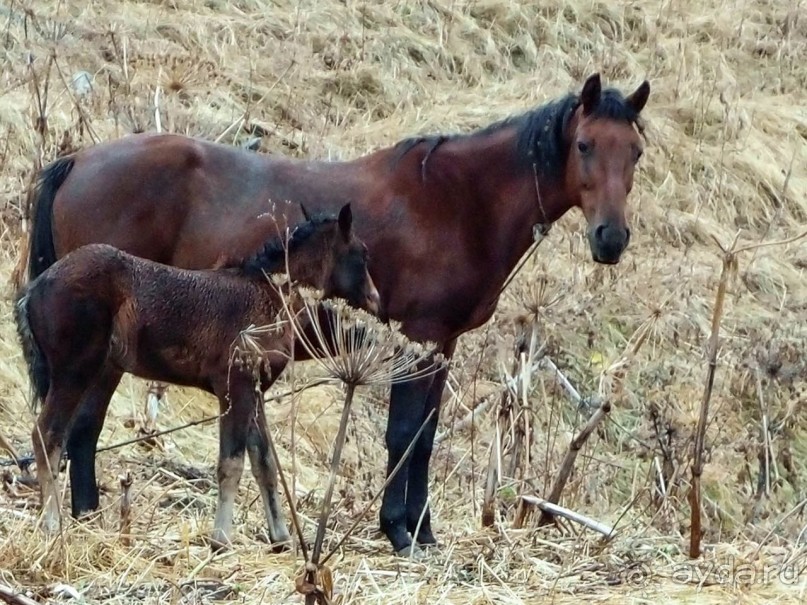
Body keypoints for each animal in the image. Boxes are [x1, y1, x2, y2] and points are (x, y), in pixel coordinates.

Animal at [25, 72, 652, 556]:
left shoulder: (439, 346)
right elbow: (405, 436)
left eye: (636, 152)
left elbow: (423, 439)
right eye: (585, 145)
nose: (611, 238)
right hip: (100, 358)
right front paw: (400, 532)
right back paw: (83, 519)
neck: (457, 200)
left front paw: (422, 533)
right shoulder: (418, 338)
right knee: (78, 428)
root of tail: (77, 159)